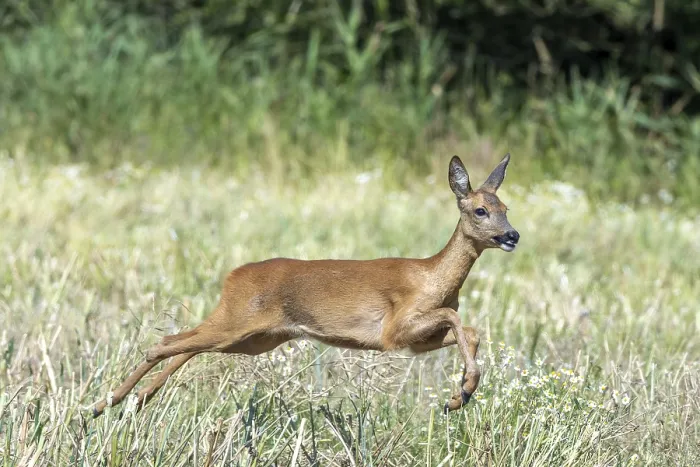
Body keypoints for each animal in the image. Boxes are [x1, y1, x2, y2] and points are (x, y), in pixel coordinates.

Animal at [92, 154, 520, 417]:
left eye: (506, 208)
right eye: (480, 210)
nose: (512, 236)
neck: (433, 278)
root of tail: (232, 276)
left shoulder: (415, 341)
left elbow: (470, 330)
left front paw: (458, 396)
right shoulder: (394, 330)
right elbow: (456, 319)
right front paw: (463, 391)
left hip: (254, 338)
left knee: (186, 345)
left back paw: (127, 401)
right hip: (238, 323)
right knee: (166, 342)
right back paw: (107, 402)